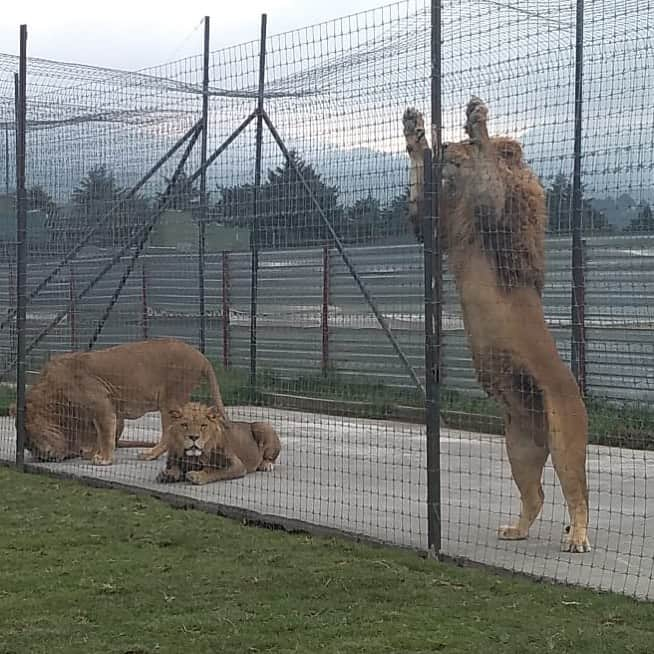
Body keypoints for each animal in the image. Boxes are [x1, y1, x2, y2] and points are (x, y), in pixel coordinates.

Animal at [18, 338, 231, 466]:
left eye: (28, 437)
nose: (40, 457)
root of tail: (201, 355)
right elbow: (99, 433)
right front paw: (93, 453)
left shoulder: (102, 404)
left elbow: (105, 432)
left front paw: (104, 459)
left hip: (170, 399)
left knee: (169, 432)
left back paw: (150, 454)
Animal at [404, 96, 596, 552]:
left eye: (460, 147)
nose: (448, 147)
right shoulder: (436, 230)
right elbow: (420, 193)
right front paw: (415, 133)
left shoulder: (496, 214)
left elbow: (489, 170)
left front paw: (479, 125)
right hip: (519, 446)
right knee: (537, 494)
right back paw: (517, 530)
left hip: (565, 438)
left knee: (578, 493)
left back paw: (578, 537)